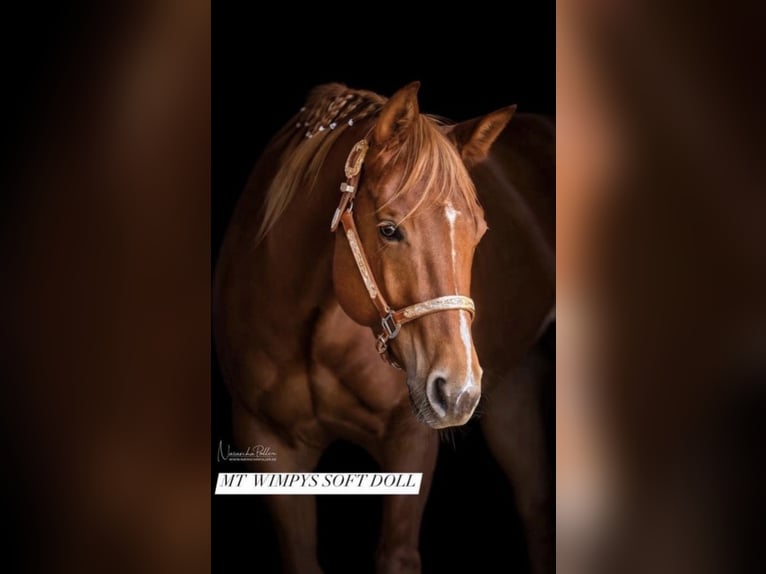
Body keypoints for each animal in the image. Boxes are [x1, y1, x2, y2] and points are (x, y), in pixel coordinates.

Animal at [213, 82, 556, 574]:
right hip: (515, 386)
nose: (458, 390)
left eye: (479, 232)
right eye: (389, 230)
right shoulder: (269, 444)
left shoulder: (409, 442)